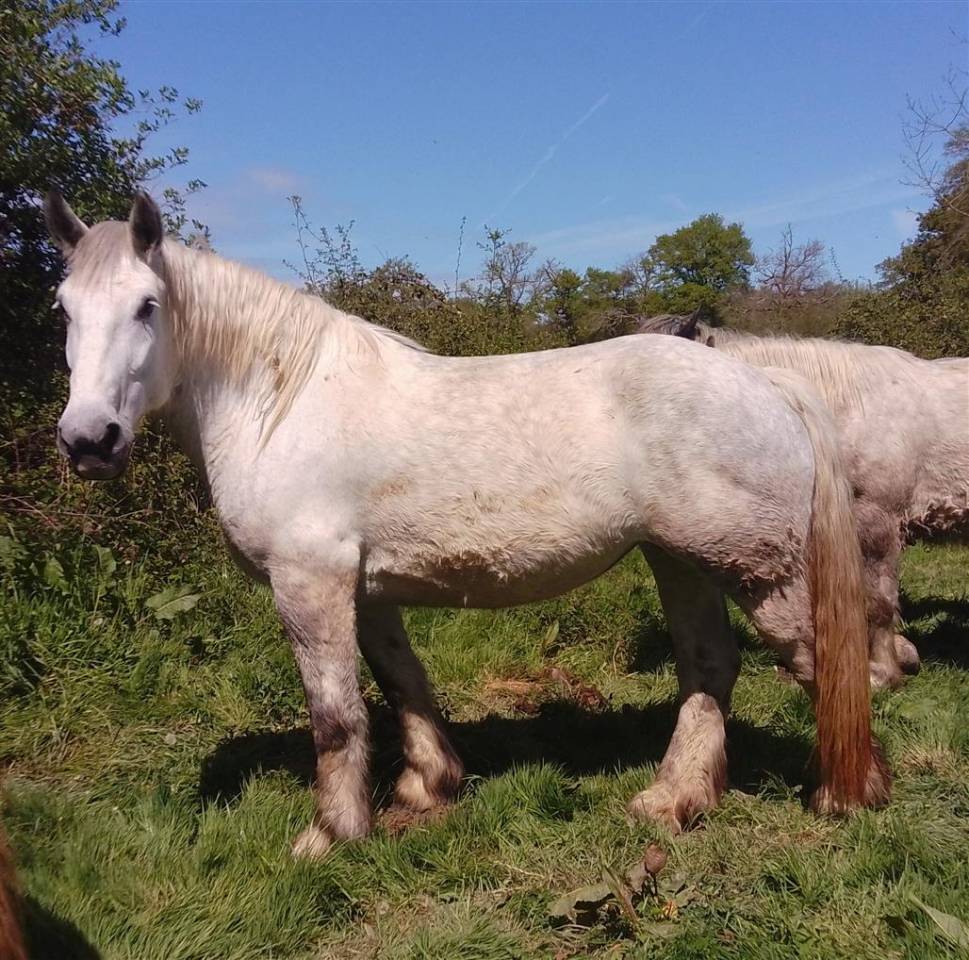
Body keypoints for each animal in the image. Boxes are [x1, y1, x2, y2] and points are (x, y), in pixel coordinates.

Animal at [43, 192, 889, 855]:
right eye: (64, 309)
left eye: (147, 306)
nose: (89, 441)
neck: (280, 401)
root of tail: (764, 381)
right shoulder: (367, 589)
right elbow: (401, 686)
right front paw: (427, 788)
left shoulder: (308, 583)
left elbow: (335, 714)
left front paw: (330, 835)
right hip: (679, 560)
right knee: (710, 666)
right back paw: (672, 801)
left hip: (759, 571)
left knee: (824, 662)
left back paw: (849, 794)